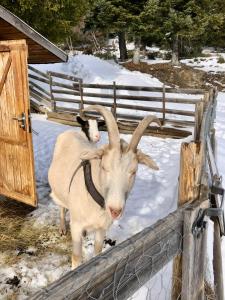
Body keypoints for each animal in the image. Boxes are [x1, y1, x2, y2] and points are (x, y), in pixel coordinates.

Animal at [48, 106, 160, 270]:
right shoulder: (76, 226)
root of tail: (71, 132)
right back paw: (62, 227)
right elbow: (76, 257)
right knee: (62, 207)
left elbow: (97, 251)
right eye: (104, 167)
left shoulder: (102, 228)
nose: (115, 210)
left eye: (133, 171)